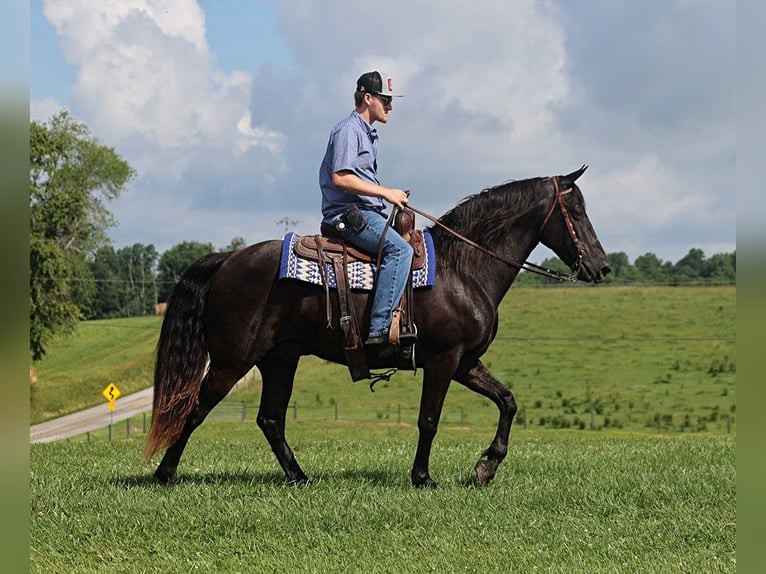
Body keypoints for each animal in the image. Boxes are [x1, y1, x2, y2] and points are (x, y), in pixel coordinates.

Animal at [144, 165, 610, 488]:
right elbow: (429, 419)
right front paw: (423, 478)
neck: (464, 268)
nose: (602, 267)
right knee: (195, 408)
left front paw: (485, 467)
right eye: (576, 210)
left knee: (270, 420)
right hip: (232, 361)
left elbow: (508, 401)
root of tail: (226, 259)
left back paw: (300, 477)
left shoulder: (465, 362)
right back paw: (165, 474)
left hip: (280, 360)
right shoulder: (444, 361)